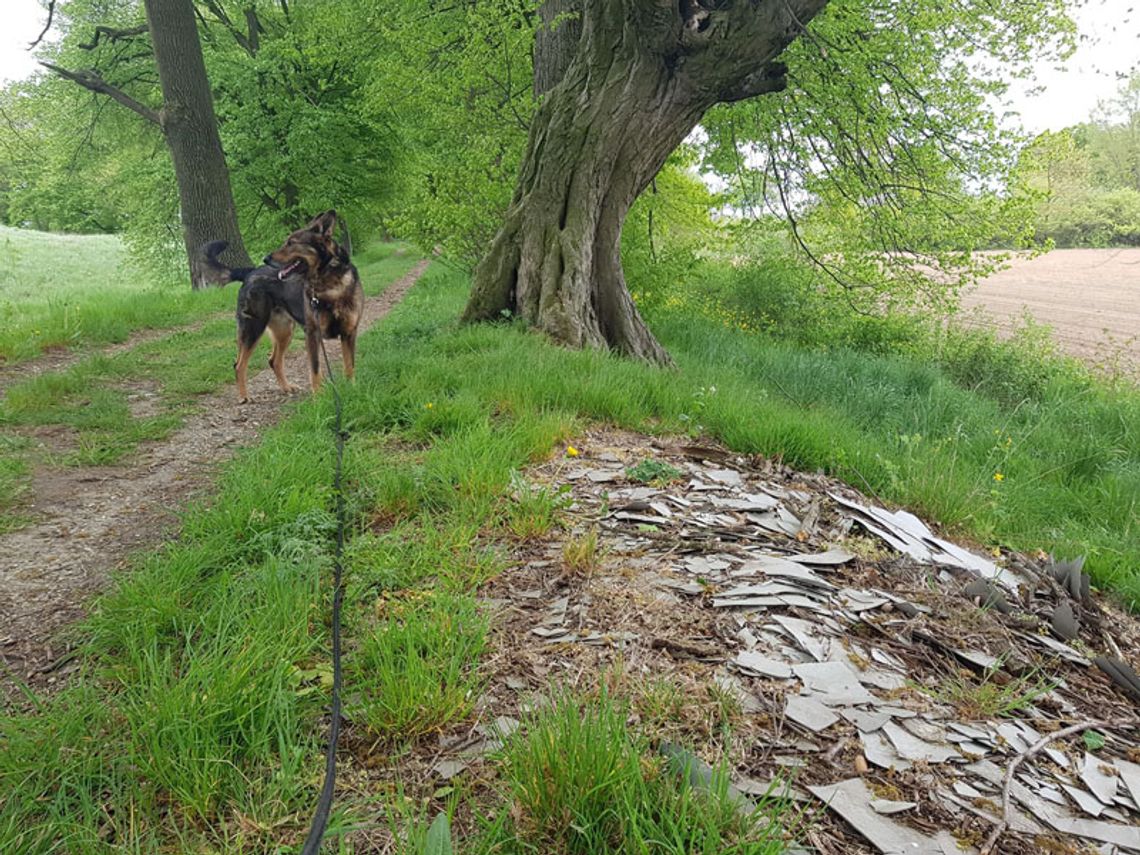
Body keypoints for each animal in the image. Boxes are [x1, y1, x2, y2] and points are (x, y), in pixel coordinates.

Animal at [202, 213, 362, 403]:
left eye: (291, 242)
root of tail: (250, 272)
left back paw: (286, 387)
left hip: (284, 332)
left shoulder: (349, 333)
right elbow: (315, 369)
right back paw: (243, 396)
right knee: (239, 364)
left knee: (274, 361)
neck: (328, 284)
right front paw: (318, 398)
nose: (266, 258)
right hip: (253, 329)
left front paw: (353, 390)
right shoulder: (313, 334)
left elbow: (350, 366)